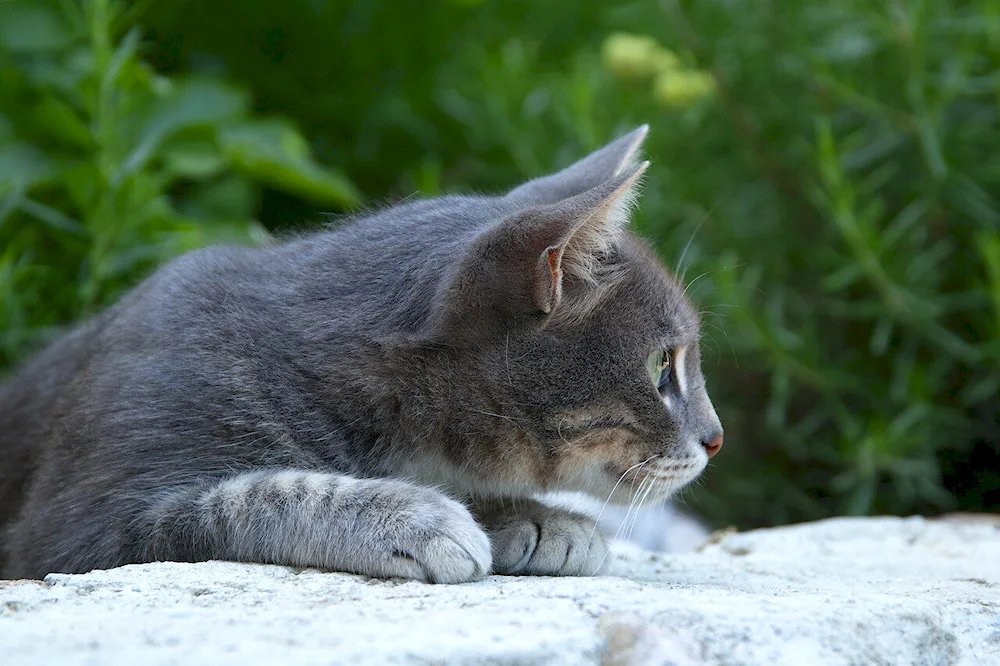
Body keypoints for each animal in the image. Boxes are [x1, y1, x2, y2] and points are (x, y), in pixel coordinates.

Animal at [0, 126, 720, 580]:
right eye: (661, 366)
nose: (716, 438)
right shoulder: (80, 529)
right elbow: (252, 496)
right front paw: (409, 514)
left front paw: (533, 519)